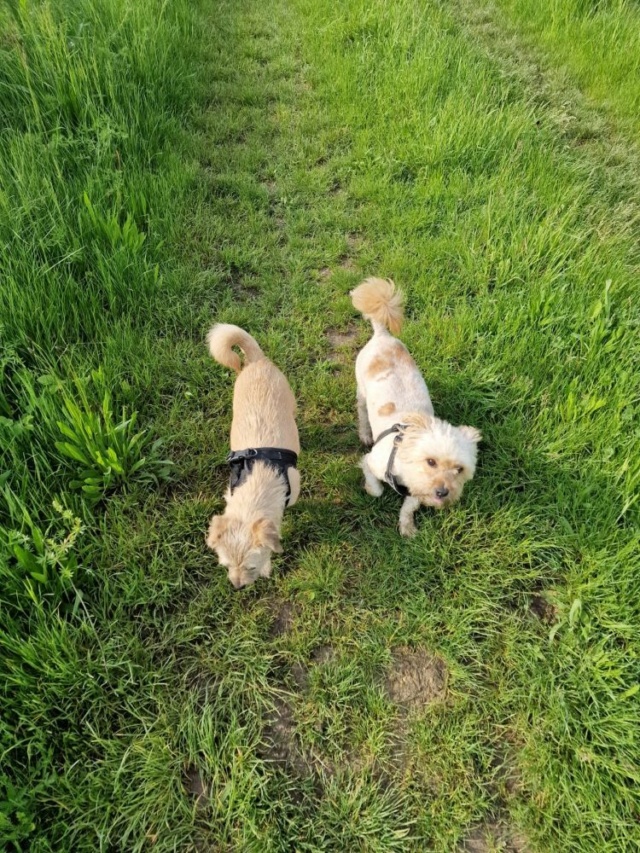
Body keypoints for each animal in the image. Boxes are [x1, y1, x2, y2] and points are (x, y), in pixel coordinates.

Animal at [350, 276, 480, 536]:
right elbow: (376, 488)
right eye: (430, 461)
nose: (443, 492)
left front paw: (407, 525)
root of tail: (382, 335)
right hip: (361, 390)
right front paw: (370, 489)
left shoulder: (418, 490)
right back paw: (365, 433)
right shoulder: (371, 462)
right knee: (361, 412)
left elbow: (410, 505)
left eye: (459, 469)